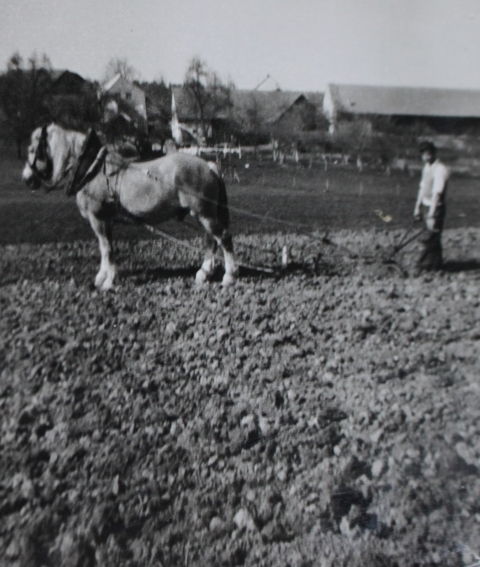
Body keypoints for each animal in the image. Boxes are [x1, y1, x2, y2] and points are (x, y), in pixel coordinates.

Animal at [22, 125, 238, 292]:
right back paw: (204, 273)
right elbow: (105, 248)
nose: (26, 179)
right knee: (211, 240)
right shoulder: (105, 222)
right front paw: (102, 277)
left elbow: (107, 249)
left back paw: (229, 276)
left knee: (223, 237)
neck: (93, 170)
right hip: (203, 214)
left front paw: (108, 281)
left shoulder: (98, 219)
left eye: (33, 149)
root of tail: (209, 166)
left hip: (204, 214)